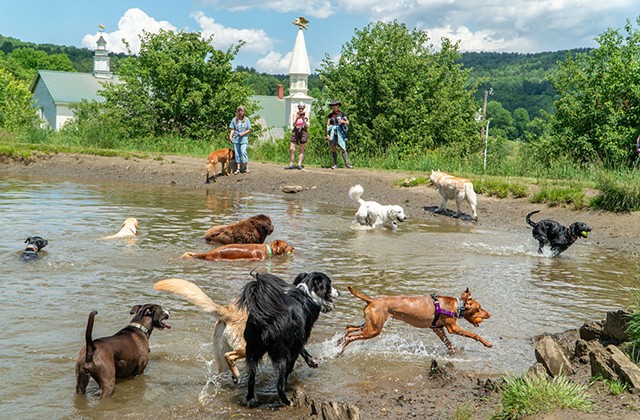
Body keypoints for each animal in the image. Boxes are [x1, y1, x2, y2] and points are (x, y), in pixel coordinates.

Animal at [239, 272, 340, 406]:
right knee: (280, 384)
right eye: (329, 283)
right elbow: (295, 359)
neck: (306, 293)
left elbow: (302, 349)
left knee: (251, 379)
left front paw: (311, 361)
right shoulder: (300, 337)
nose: (339, 292)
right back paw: (286, 401)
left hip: (252, 350)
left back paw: (250, 399)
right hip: (280, 353)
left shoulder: (296, 338)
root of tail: (265, 319)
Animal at [338, 286, 492, 354]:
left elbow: (449, 344)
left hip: (371, 324)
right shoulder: (453, 328)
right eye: (479, 308)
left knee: (349, 328)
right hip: (374, 330)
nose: (490, 314)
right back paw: (341, 350)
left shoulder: (438, 329)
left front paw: (454, 352)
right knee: (351, 337)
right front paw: (487, 343)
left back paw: (338, 342)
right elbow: (474, 334)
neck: (456, 305)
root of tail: (372, 300)